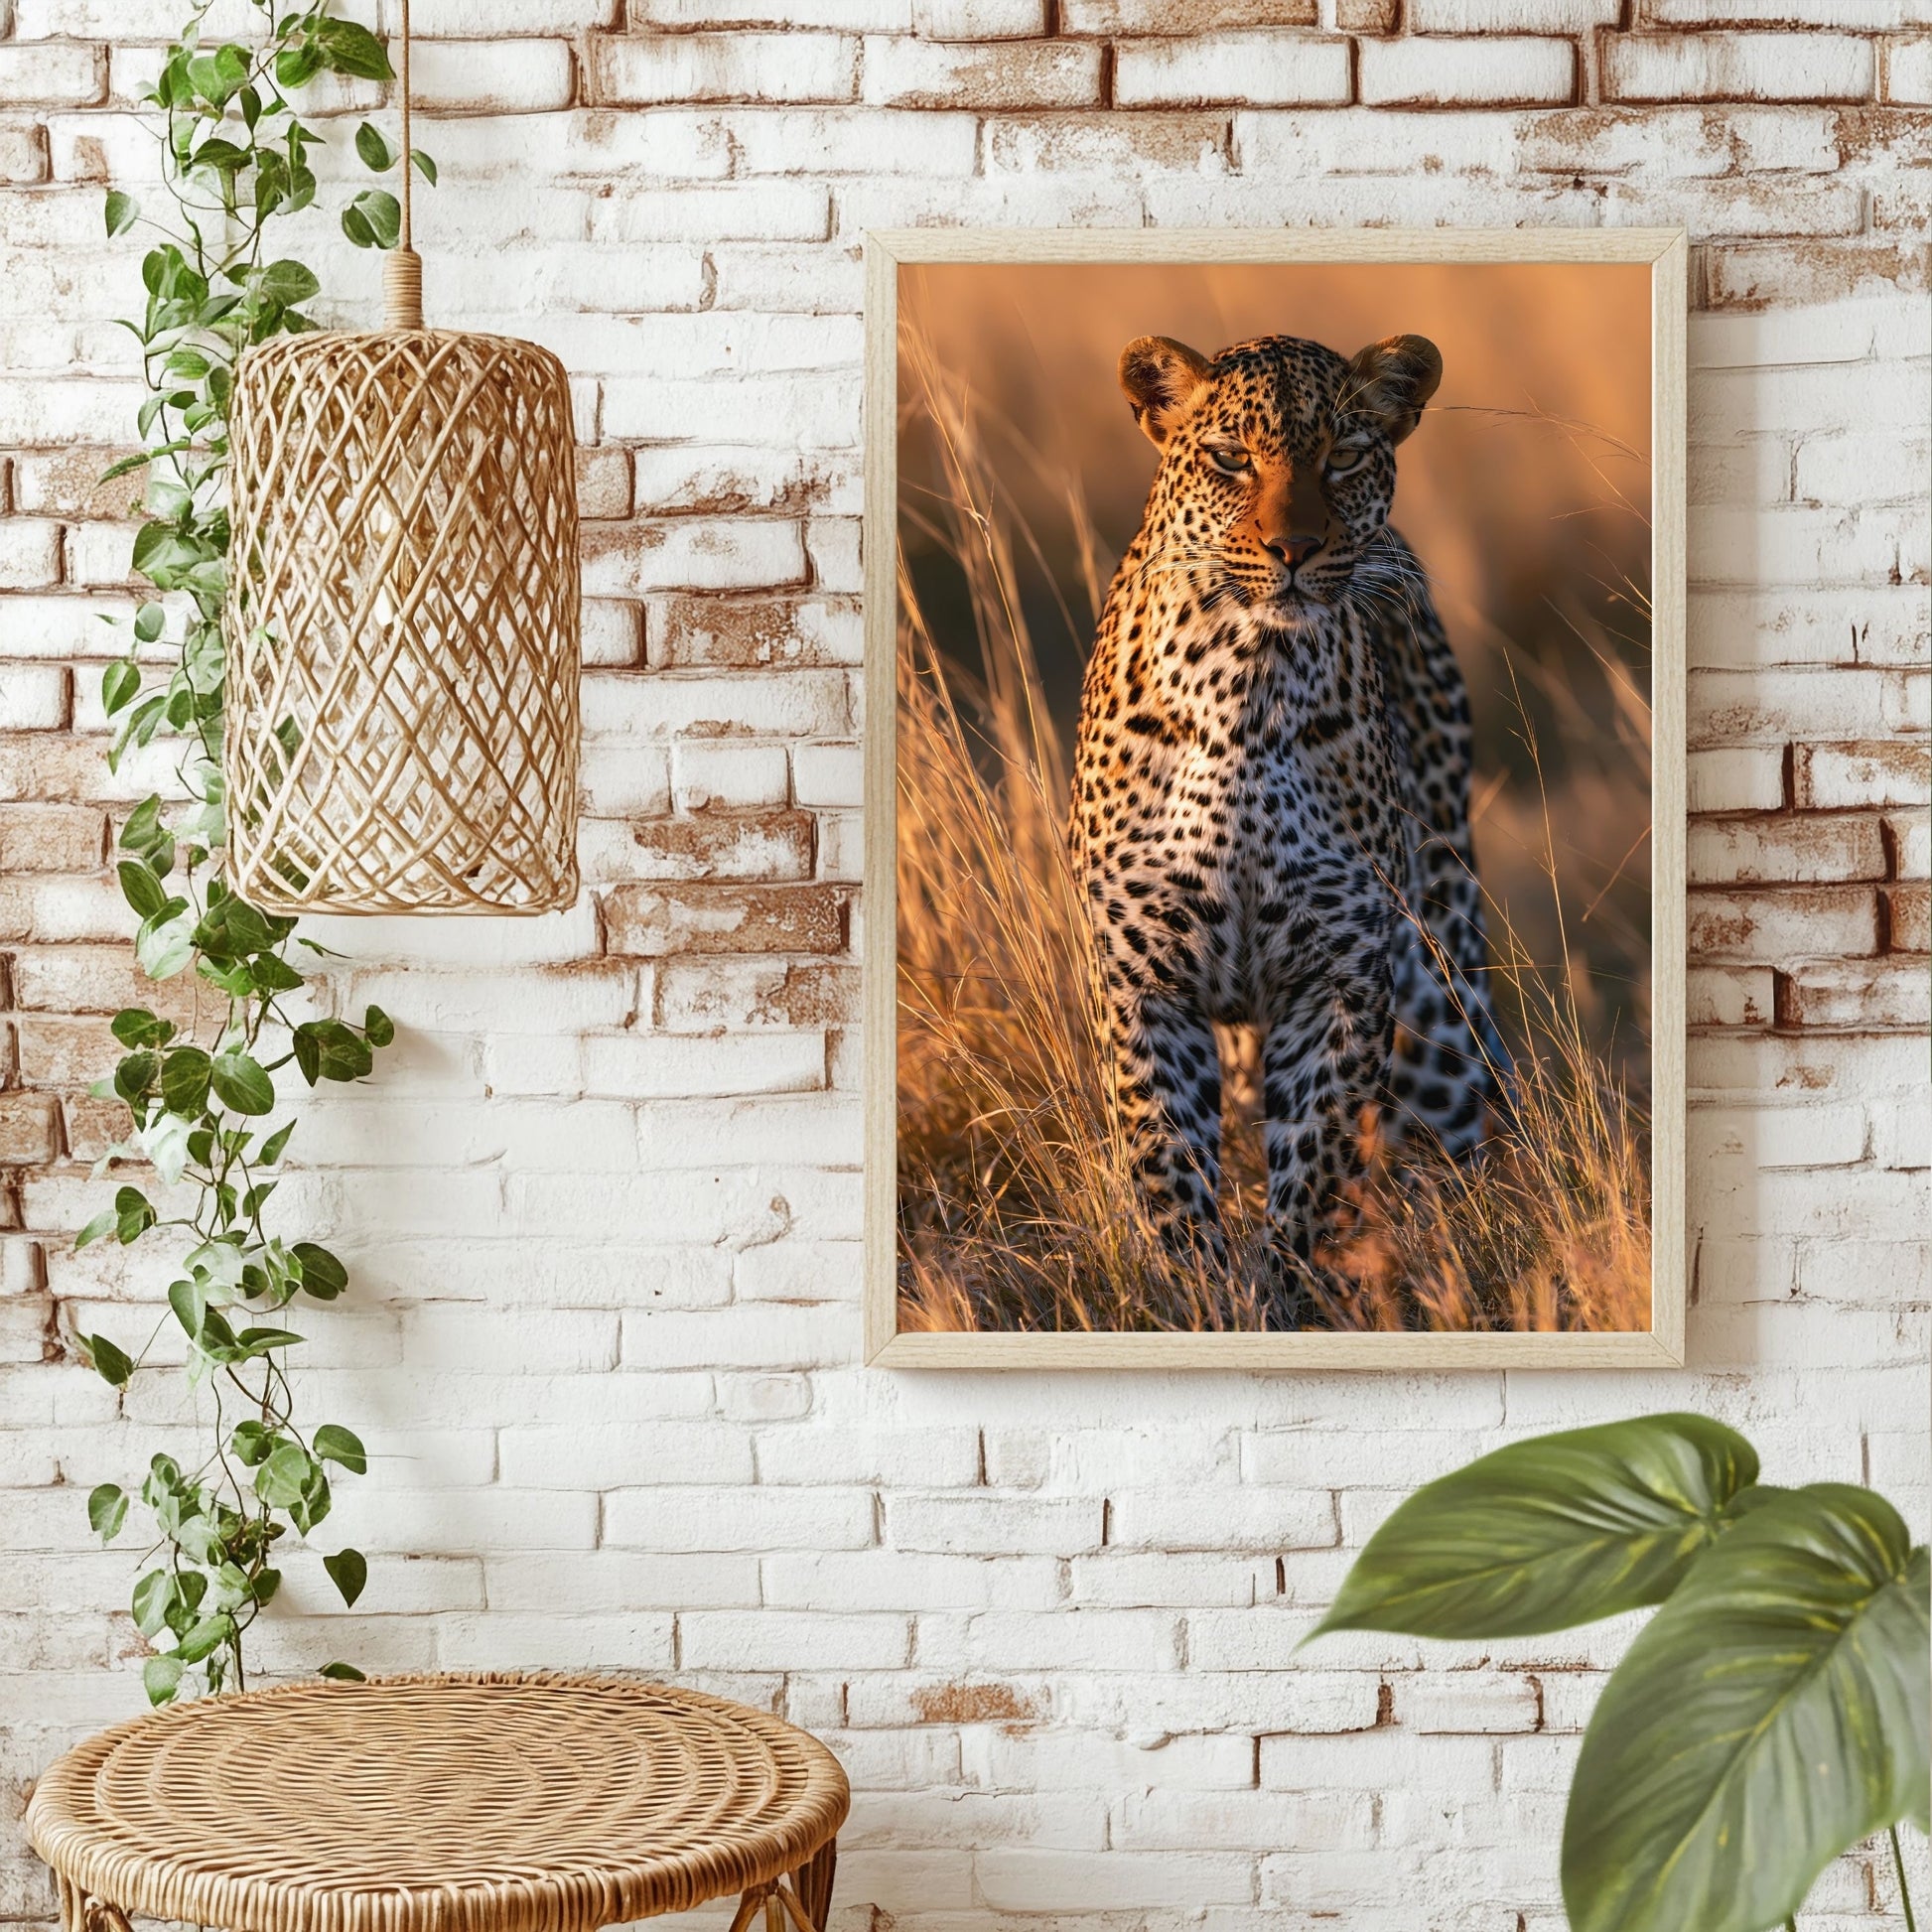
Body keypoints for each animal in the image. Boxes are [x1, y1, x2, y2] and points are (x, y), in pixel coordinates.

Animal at [1068, 327, 1504, 1320]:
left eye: (1342, 457)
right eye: (1231, 458)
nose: (1295, 548)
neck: (1247, 682)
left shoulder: (1340, 980)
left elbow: (1315, 1169)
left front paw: (1287, 1301)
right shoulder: (1146, 981)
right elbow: (1167, 1164)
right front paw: (1194, 1299)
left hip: (1442, 994)